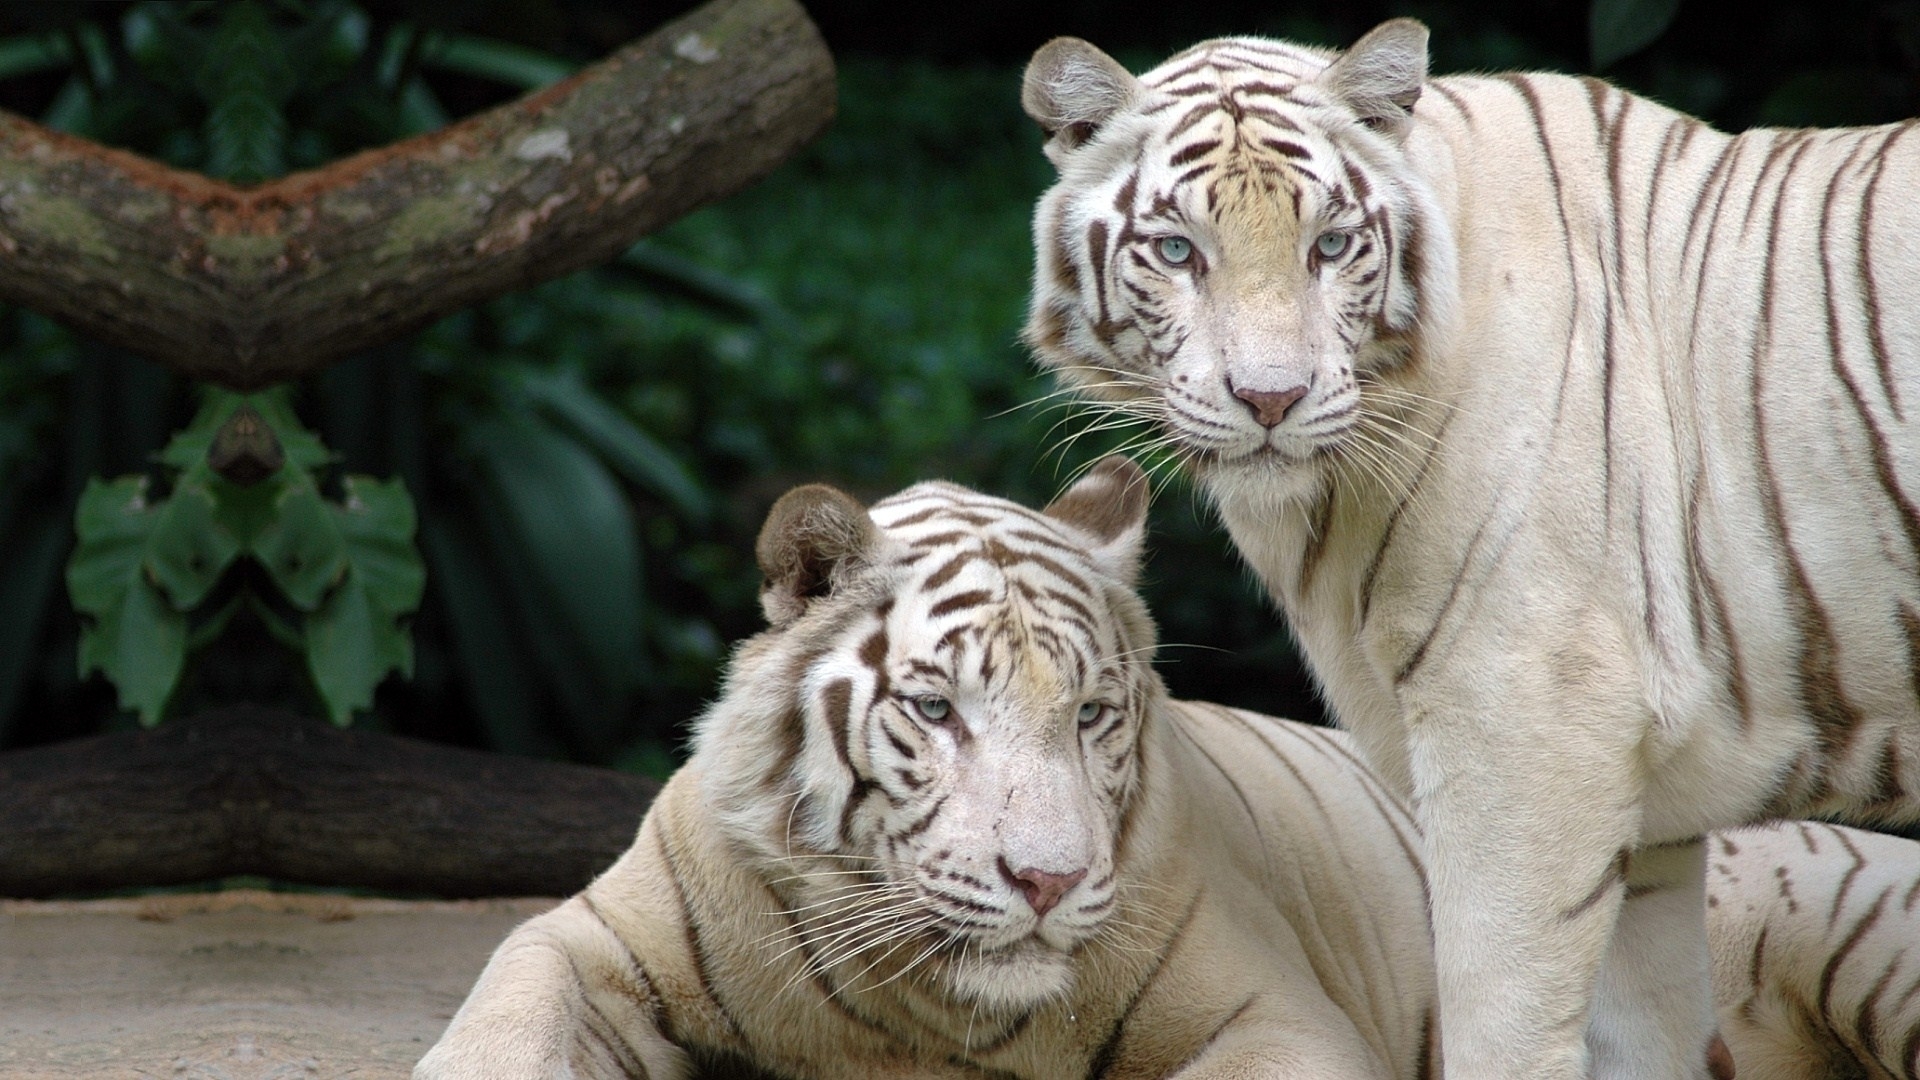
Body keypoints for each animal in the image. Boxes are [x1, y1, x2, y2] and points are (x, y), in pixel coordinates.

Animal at [420, 455, 1920, 1076]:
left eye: (1092, 714)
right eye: (937, 710)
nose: (1045, 882)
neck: (915, 1014)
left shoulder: (1276, 1019)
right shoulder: (588, 938)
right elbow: (503, 1017)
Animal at [1021, 18, 1920, 1076]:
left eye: (1331, 245)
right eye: (1175, 249)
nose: (1272, 400)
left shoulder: (1526, 733)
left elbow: (1502, 1022)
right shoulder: (1650, 829)